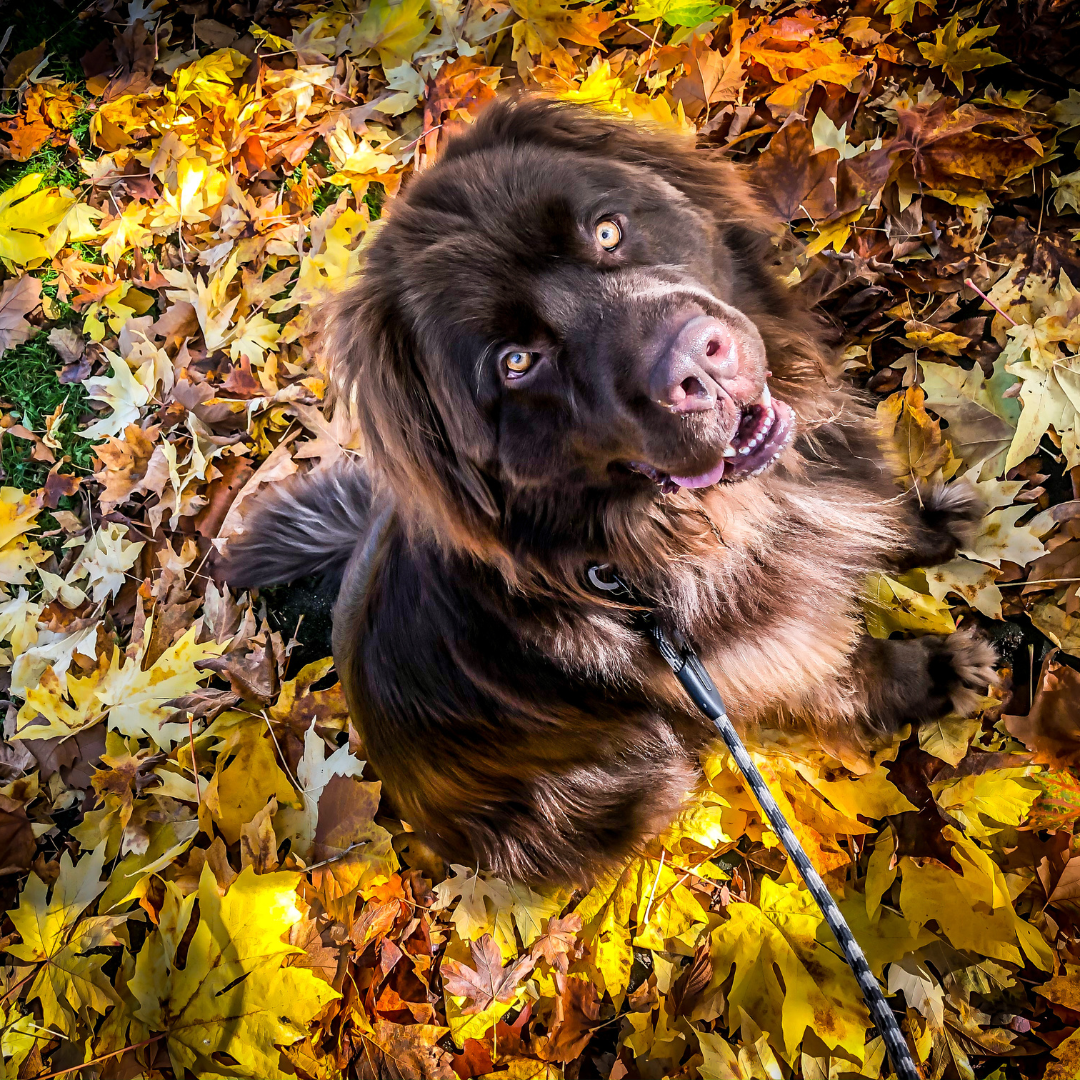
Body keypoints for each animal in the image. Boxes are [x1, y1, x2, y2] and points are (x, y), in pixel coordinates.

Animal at [223, 97, 997, 881]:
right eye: (515, 362)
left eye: (606, 230)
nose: (694, 362)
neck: (706, 521)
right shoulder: (763, 663)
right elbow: (851, 674)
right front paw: (934, 672)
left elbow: (887, 517)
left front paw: (931, 527)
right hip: (636, 773)